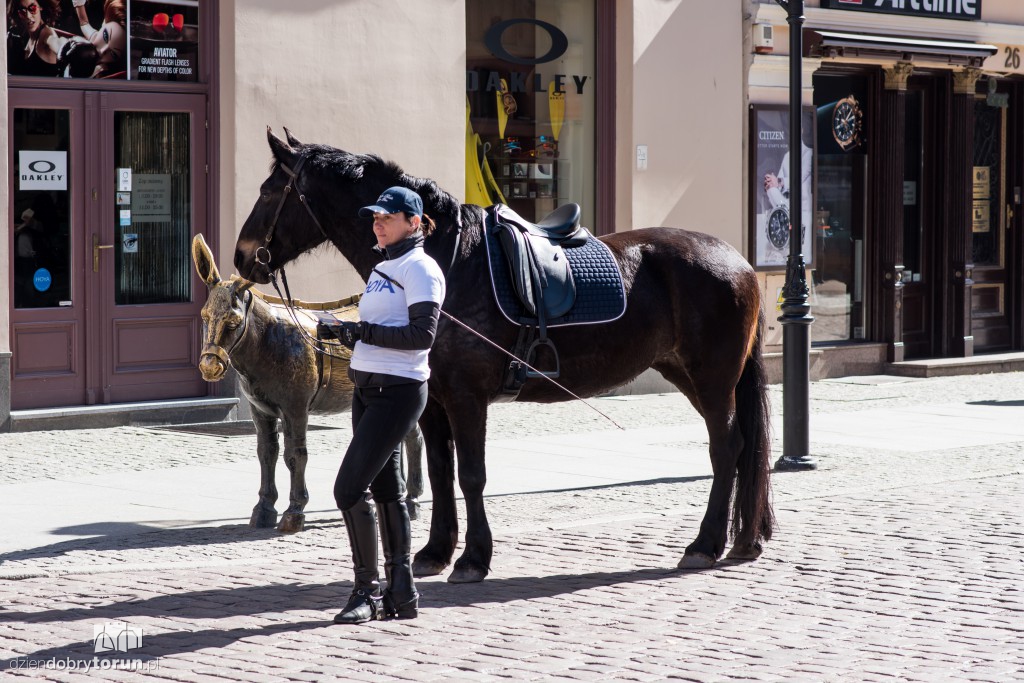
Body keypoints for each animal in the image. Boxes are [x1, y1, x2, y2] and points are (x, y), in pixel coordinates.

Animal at [234, 131, 774, 585]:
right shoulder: (433, 402)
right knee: (740, 448)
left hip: (712, 378)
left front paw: (474, 558)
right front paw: (435, 552)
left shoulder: (467, 397)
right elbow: (441, 474)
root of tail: (738, 260)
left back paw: (705, 544)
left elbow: (472, 475)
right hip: (686, 373)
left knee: (727, 448)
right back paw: (742, 541)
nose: (242, 256)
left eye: (269, 190)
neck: (446, 260)